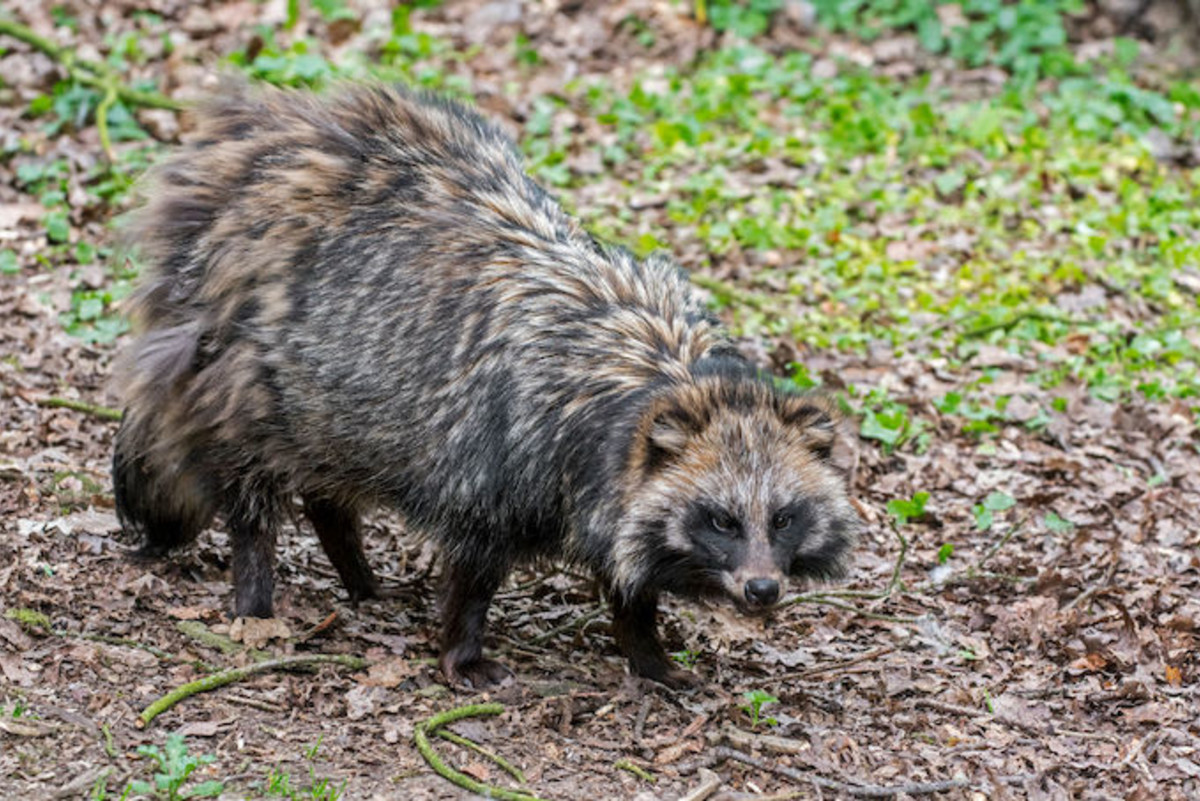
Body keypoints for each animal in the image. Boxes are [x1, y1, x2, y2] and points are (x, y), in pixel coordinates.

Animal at [113, 80, 859, 688]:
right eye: (722, 518)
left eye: (784, 516)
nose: (762, 589)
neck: (655, 371)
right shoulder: (497, 455)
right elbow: (475, 568)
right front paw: (463, 648)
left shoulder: (602, 481)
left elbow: (624, 568)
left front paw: (644, 646)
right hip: (243, 369)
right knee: (250, 483)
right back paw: (256, 585)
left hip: (334, 390)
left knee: (329, 474)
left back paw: (353, 566)